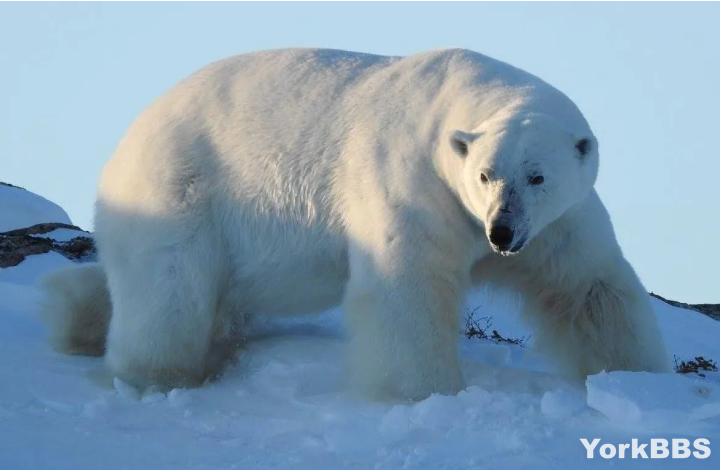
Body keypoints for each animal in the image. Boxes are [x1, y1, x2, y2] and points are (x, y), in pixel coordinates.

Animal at [40, 49, 664, 400]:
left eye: (537, 176)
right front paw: (421, 394)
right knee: (168, 284)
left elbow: (587, 285)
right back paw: (155, 374)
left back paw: (73, 313)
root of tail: (130, 135)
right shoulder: (415, 183)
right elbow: (407, 288)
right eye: (486, 174)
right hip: (183, 182)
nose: (501, 235)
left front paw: (638, 379)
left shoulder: (557, 222)